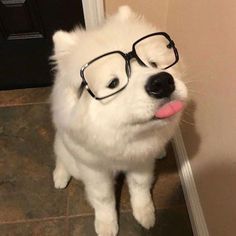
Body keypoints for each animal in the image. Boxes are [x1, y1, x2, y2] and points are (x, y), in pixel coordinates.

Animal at [50, 5, 187, 236]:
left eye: (153, 64)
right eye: (114, 83)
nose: (162, 82)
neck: (125, 136)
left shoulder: (142, 160)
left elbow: (140, 188)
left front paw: (145, 214)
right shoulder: (94, 170)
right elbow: (103, 199)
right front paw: (107, 225)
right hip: (68, 153)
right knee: (61, 155)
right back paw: (60, 177)